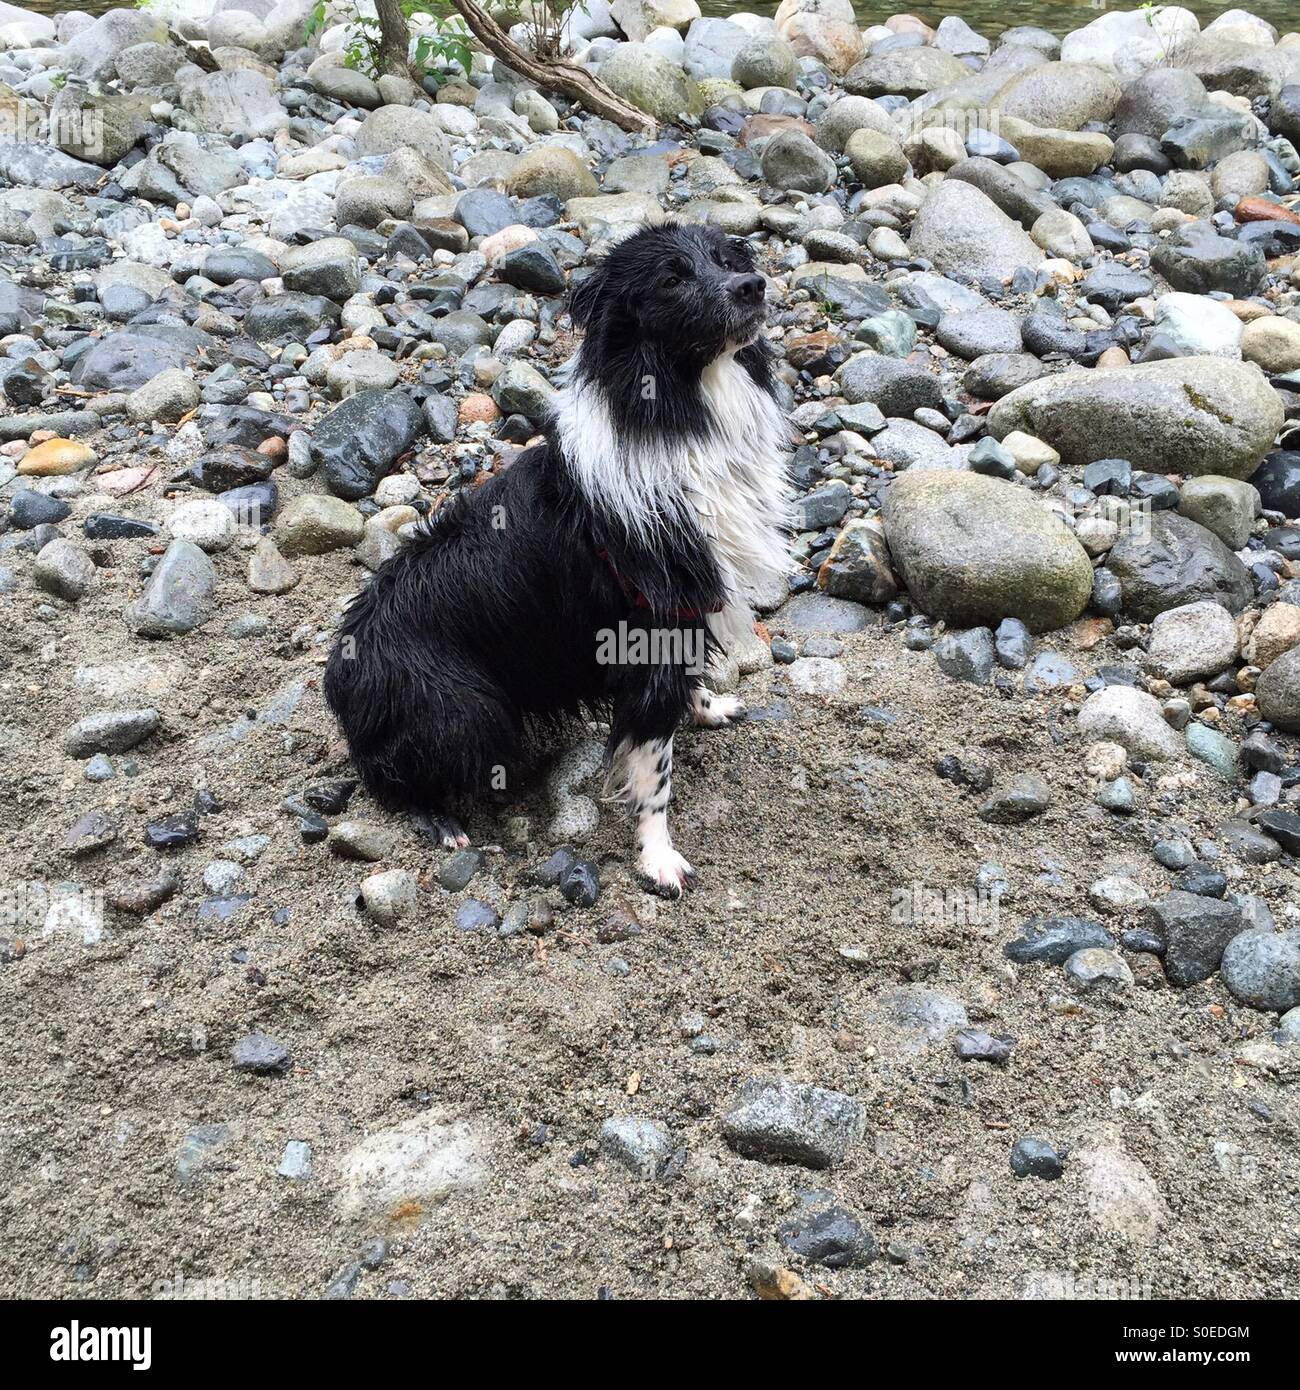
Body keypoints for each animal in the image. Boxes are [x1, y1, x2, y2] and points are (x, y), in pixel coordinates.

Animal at [328, 216, 795, 889]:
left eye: (728, 259)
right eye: (673, 280)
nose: (753, 286)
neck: (681, 408)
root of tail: (340, 674)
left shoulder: (682, 615)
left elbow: (682, 691)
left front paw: (707, 707)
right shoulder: (649, 626)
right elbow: (654, 767)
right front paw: (658, 857)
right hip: (469, 707)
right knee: (394, 782)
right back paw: (443, 822)